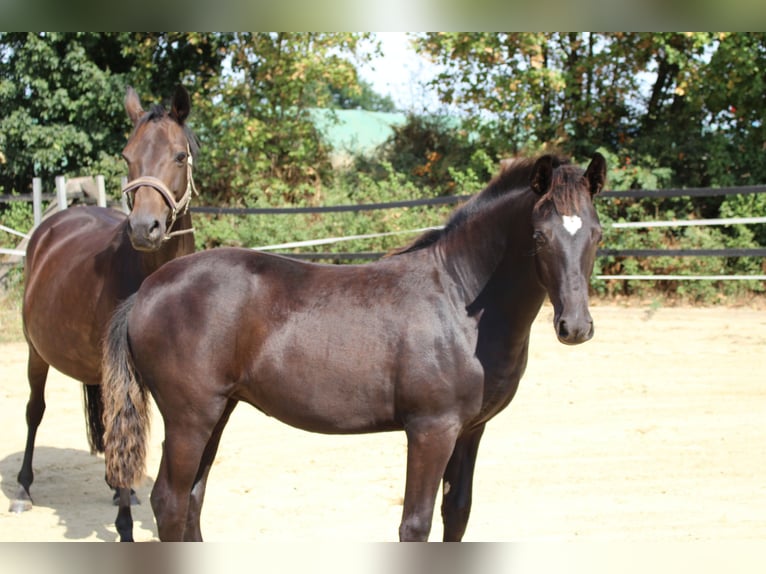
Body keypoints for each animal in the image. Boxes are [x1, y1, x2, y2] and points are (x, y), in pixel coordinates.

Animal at [12, 85, 199, 543]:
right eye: (127, 156)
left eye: (179, 156)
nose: (144, 227)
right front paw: (125, 529)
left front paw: (126, 498)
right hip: (36, 353)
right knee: (34, 410)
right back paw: (23, 488)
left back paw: (117, 490)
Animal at [102, 152, 607, 542]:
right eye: (539, 236)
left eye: (596, 234)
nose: (575, 327)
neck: (459, 300)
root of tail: (146, 291)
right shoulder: (432, 430)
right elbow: (415, 525)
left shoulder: (470, 431)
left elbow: (457, 515)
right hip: (190, 417)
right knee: (169, 502)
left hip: (217, 412)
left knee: (192, 499)